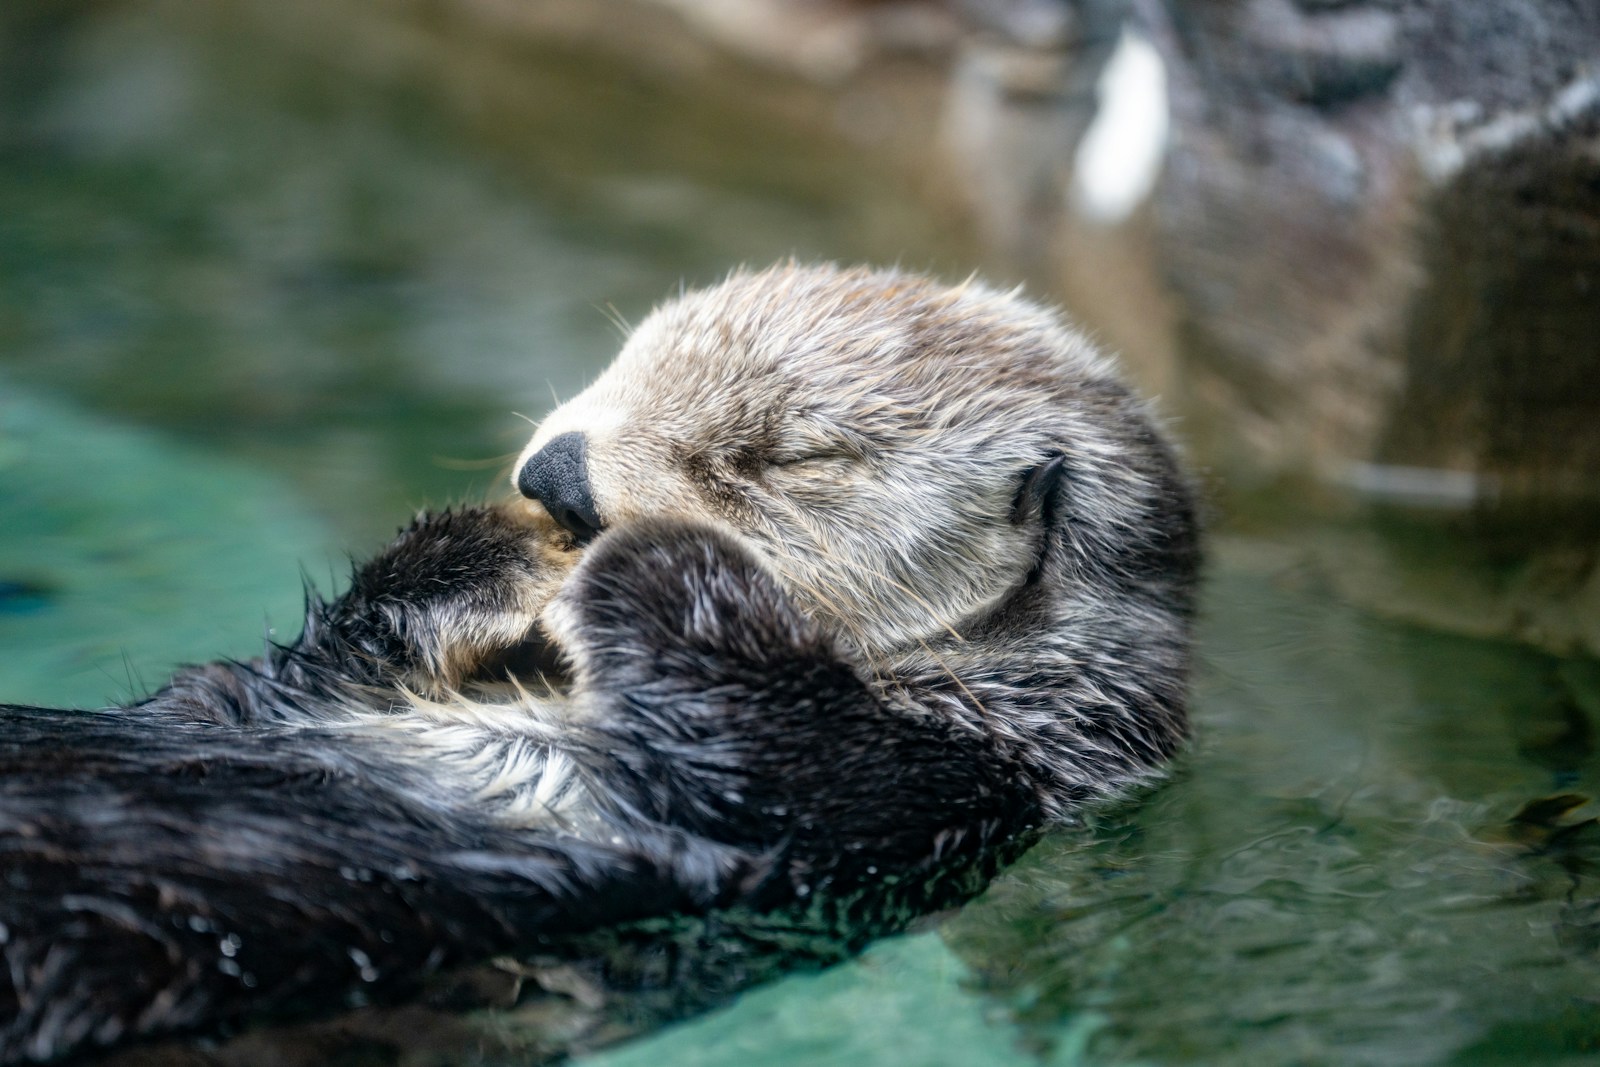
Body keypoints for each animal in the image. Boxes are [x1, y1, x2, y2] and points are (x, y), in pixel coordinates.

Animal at [0, 263, 1198, 1063]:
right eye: (626, 360)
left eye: (786, 457)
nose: (557, 477)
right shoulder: (288, 692)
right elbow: (292, 668)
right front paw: (495, 559)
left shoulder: (935, 795)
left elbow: (770, 748)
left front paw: (642, 556)